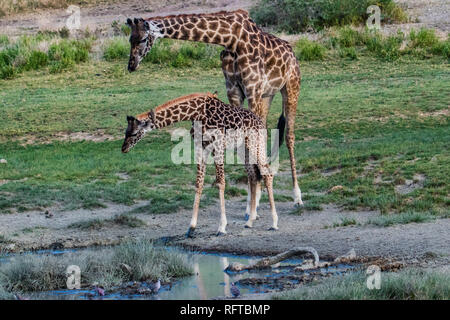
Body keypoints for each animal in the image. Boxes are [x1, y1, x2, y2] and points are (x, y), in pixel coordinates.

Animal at [121, 91, 280, 236]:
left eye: (134, 133)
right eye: (125, 132)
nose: (124, 149)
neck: (196, 113)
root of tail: (261, 122)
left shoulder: (218, 146)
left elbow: (220, 182)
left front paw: (222, 227)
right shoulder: (201, 147)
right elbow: (199, 183)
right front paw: (191, 227)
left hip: (255, 144)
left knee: (267, 173)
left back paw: (274, 223)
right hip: (243, 148)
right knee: (253, 175)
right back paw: (250, 221)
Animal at [125, 10, 304, 214]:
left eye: (143, 39)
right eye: (130, 39)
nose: (131, 65)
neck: (231, 39)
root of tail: (292, 52)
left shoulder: (253, 90)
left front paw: (254, 202)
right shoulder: (234, 91)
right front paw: (251, 203)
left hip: (290, 87)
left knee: (289, 136)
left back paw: (297, 197)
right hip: (268, 95)